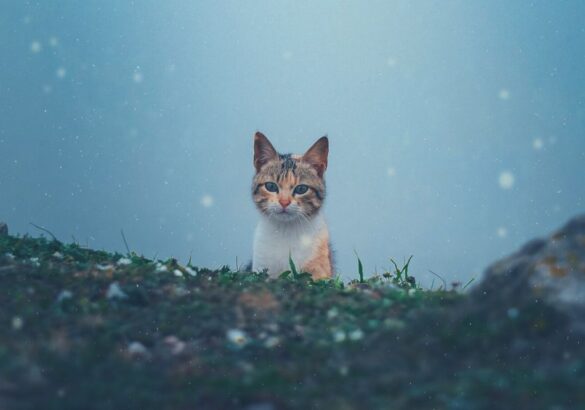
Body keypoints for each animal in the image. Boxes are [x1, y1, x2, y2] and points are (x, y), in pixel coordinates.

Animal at [251, 131, 334, 278]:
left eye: (301, 189)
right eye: (271, 186)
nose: (284, 202)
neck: (285, 231)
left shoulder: (319, 269)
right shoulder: (260, 266)